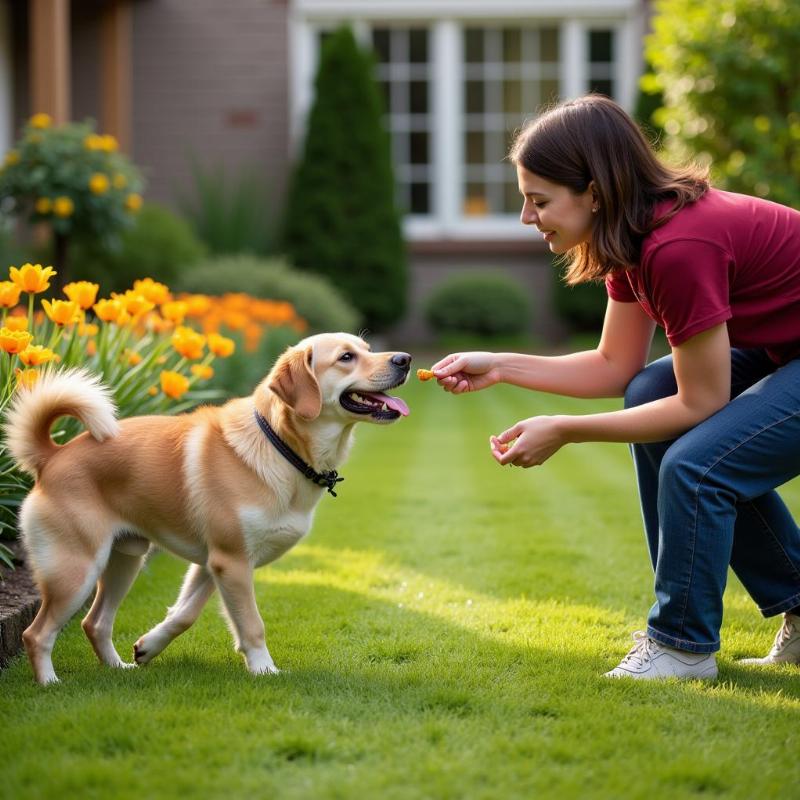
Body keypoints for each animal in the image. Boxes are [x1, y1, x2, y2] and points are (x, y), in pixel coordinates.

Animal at [3, 334, 410, 684]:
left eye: (367, 349)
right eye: (346, 357)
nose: (404, 359)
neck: (278, 446)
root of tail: (53, 455)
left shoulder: (211, 564)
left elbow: (184, 614)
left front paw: (149, 646)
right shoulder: (231, 561)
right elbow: (251, 624)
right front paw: (264, 669)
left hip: (125, 560)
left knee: (95, 623)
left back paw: (118, 668)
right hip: (76, 570)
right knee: (35, 633)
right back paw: (49, 683)